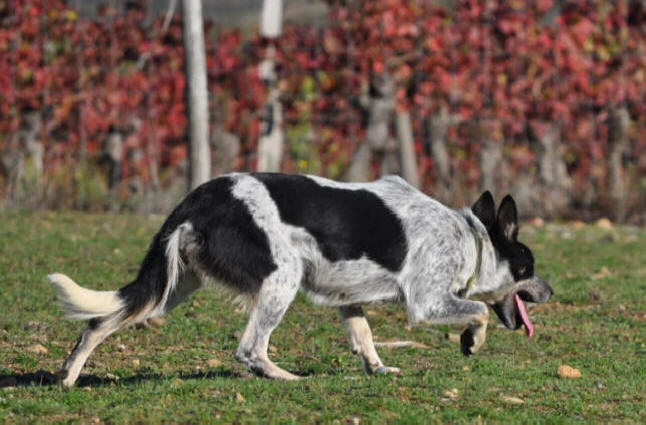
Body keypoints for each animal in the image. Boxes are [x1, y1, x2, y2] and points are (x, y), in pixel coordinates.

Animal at [50, 173, 556, 388]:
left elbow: (364, 338)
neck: (471, 238)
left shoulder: (349, 298)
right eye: (528, 268)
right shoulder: (427, 303)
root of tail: (200, 197)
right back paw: (284, 377)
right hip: (281, 279)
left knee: (99, 322)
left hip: (172, 287)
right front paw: (471, 341)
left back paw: (68, 377)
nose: (552, 292)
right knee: (249, 350)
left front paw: (377, 370)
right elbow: (477, 310)